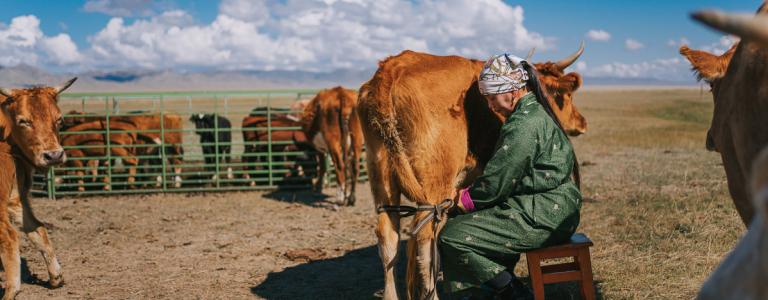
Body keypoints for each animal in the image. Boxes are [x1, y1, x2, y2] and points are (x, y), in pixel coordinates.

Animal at [0, 78, 76, 300]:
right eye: (23, 121)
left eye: (59, 120)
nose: (54, 155)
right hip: (15, 199)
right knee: (36, 227)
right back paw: (55, 277)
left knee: (9, 236)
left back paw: (11, 291)